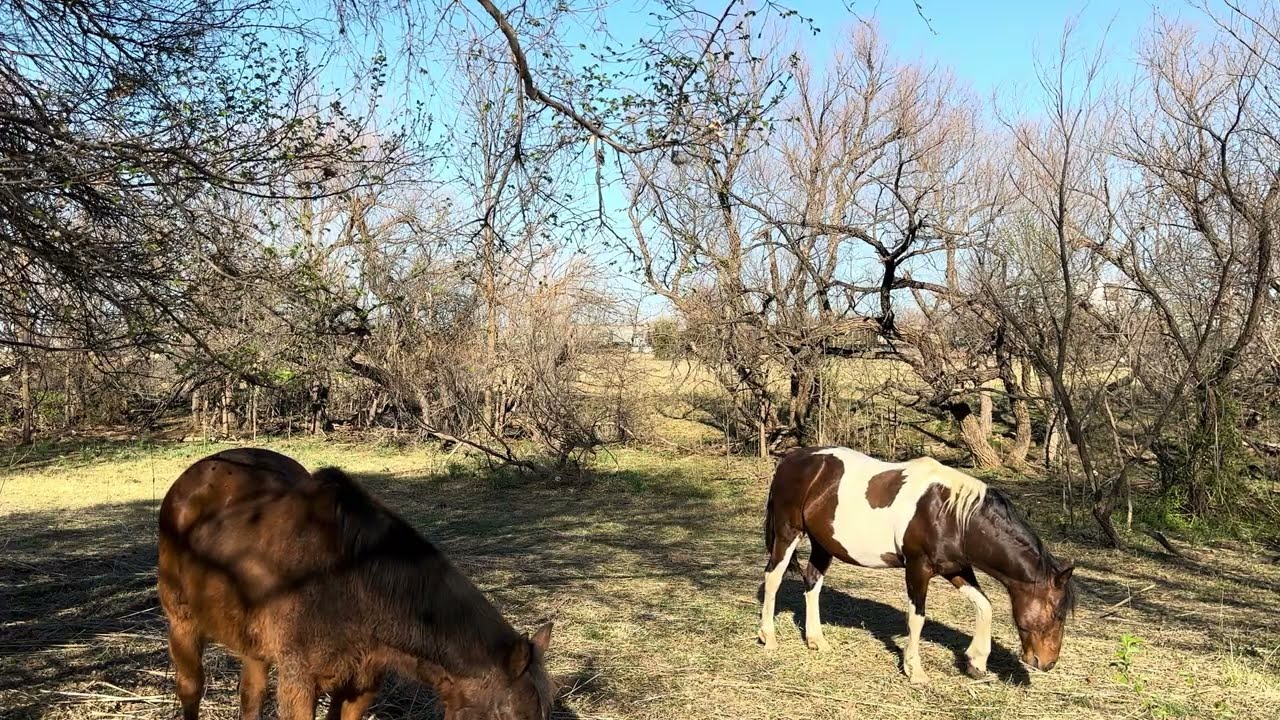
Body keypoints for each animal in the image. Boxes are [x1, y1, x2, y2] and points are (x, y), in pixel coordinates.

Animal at [157, 447, 555, 720]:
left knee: (250, 696)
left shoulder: (362, 685)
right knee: (191, 690)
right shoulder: (299, 684)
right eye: (508, 716)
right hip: (183, 625)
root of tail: (195, 474)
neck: (353, 585)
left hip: (253, 646)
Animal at [758, 446, 1075, 684]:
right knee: (773, 578)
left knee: (812, 583)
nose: (1046, 663)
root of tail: (791, 461)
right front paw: (915, 670)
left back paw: (816, 640)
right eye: (1056, 614)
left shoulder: (956, 569)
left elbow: (985, 605)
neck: (952, 516)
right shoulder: (917, 568)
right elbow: (917, 618)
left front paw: (976, 662)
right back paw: (768, 637)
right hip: (787, 534)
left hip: (824, 545)